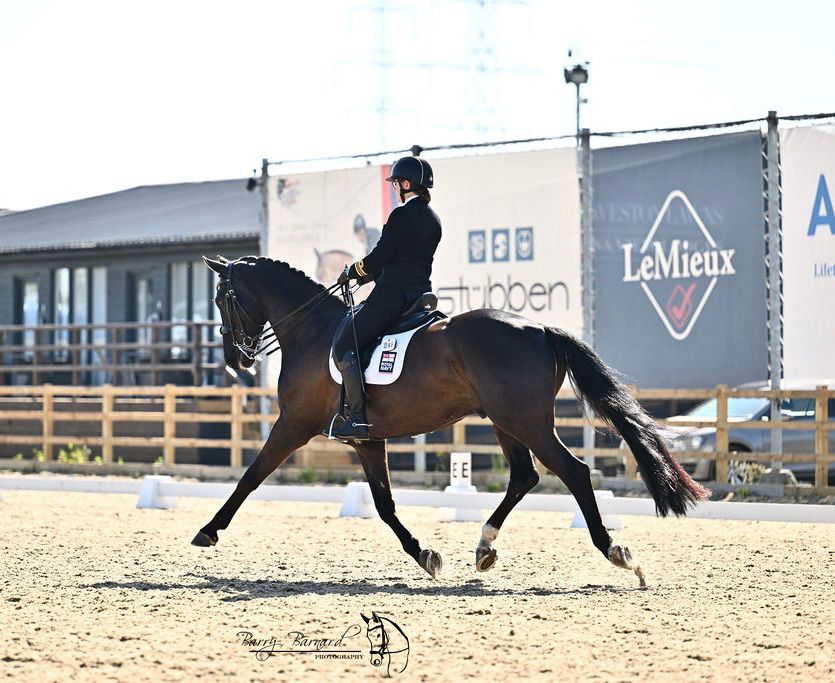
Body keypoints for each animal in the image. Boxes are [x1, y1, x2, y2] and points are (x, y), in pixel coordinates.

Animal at [192, 255, 710, 586]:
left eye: (221, 298)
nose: (235, 360)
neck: (313, 331)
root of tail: (540, 328)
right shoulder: (366, 440)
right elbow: (384, 505)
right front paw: (425, 555)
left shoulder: (293, 425)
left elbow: (250, 477)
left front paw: (208, 530)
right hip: (505, 421)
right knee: (523, 476)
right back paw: (484, 546)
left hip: (525, 421)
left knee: (574, 472)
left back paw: (617, 553)